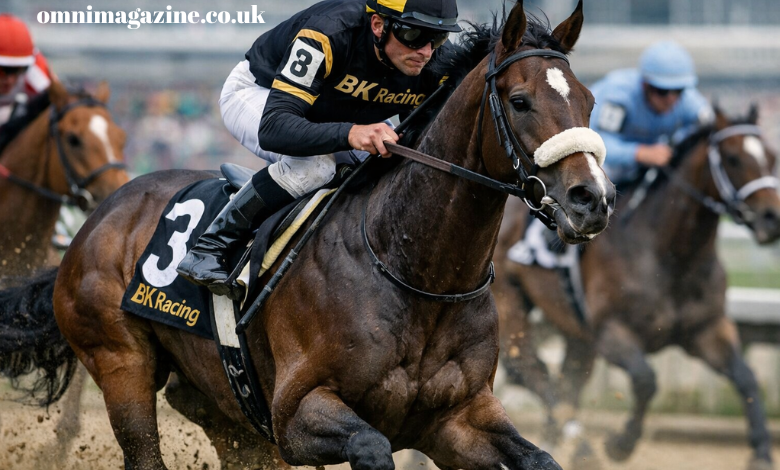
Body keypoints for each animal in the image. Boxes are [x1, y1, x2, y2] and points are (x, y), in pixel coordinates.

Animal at [493, 107, 780, 470]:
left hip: (575, 330)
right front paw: (620, 444)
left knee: (566, 379)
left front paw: (761, 452)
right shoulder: (611, 332)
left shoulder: (706, 329)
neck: (670, 255)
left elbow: (746, 377)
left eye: (771, 156)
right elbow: (646, 380)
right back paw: (583, 450)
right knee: (531, 371)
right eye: (733, 158)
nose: (772, 218)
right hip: (510, 303)